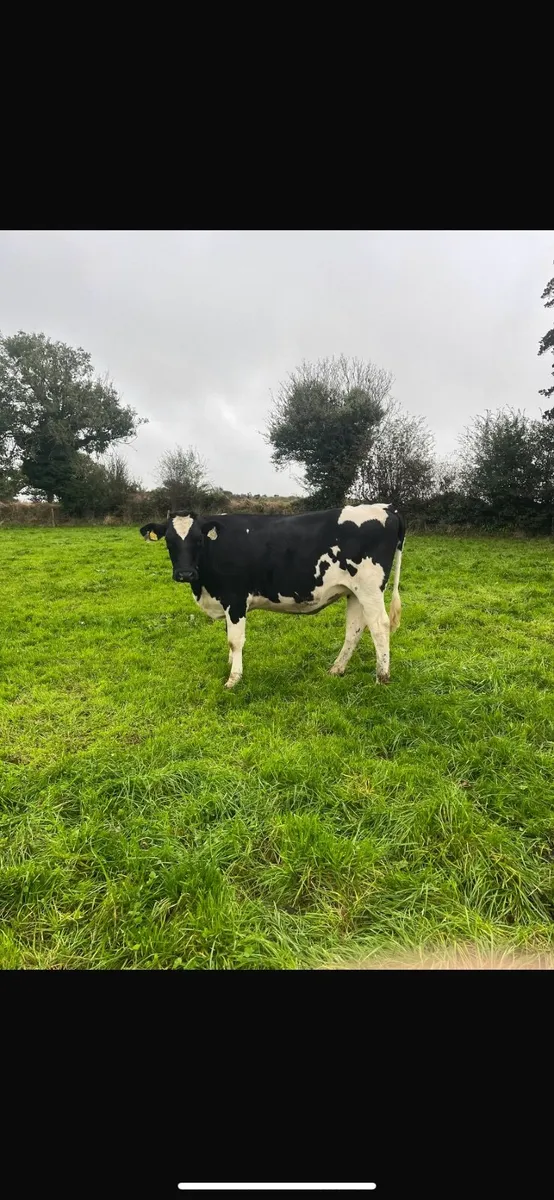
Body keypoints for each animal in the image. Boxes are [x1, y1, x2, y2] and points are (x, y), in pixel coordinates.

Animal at [139, 503, 405, 689]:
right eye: (169, 541)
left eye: (198, 540)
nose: (185, 573)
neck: (203, 586)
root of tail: (387, 508)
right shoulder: (227, 602)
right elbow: (228, 636)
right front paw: (231, 664)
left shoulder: (235, 598)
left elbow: (235, 640)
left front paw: (234, 678)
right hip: (354, 592)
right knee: (355, 629)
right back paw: (336, 669)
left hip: (370, 588)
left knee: (380, 626)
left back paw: (382, 677)